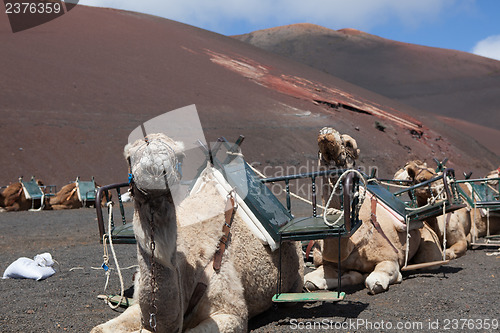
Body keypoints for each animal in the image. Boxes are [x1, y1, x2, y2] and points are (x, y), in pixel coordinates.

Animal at [91, 132, 302, 332]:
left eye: (179, 156)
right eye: (129, 157)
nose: (155, 169)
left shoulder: (231, 312)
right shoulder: (138, 306)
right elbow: (98, 329)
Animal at [302, 127, 444, 294]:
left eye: (349, 143)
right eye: (319, 137)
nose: (326, 133)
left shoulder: (390, 258)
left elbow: (375, 280)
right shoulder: (327, 264)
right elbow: (309, 280)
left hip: (430, 243)